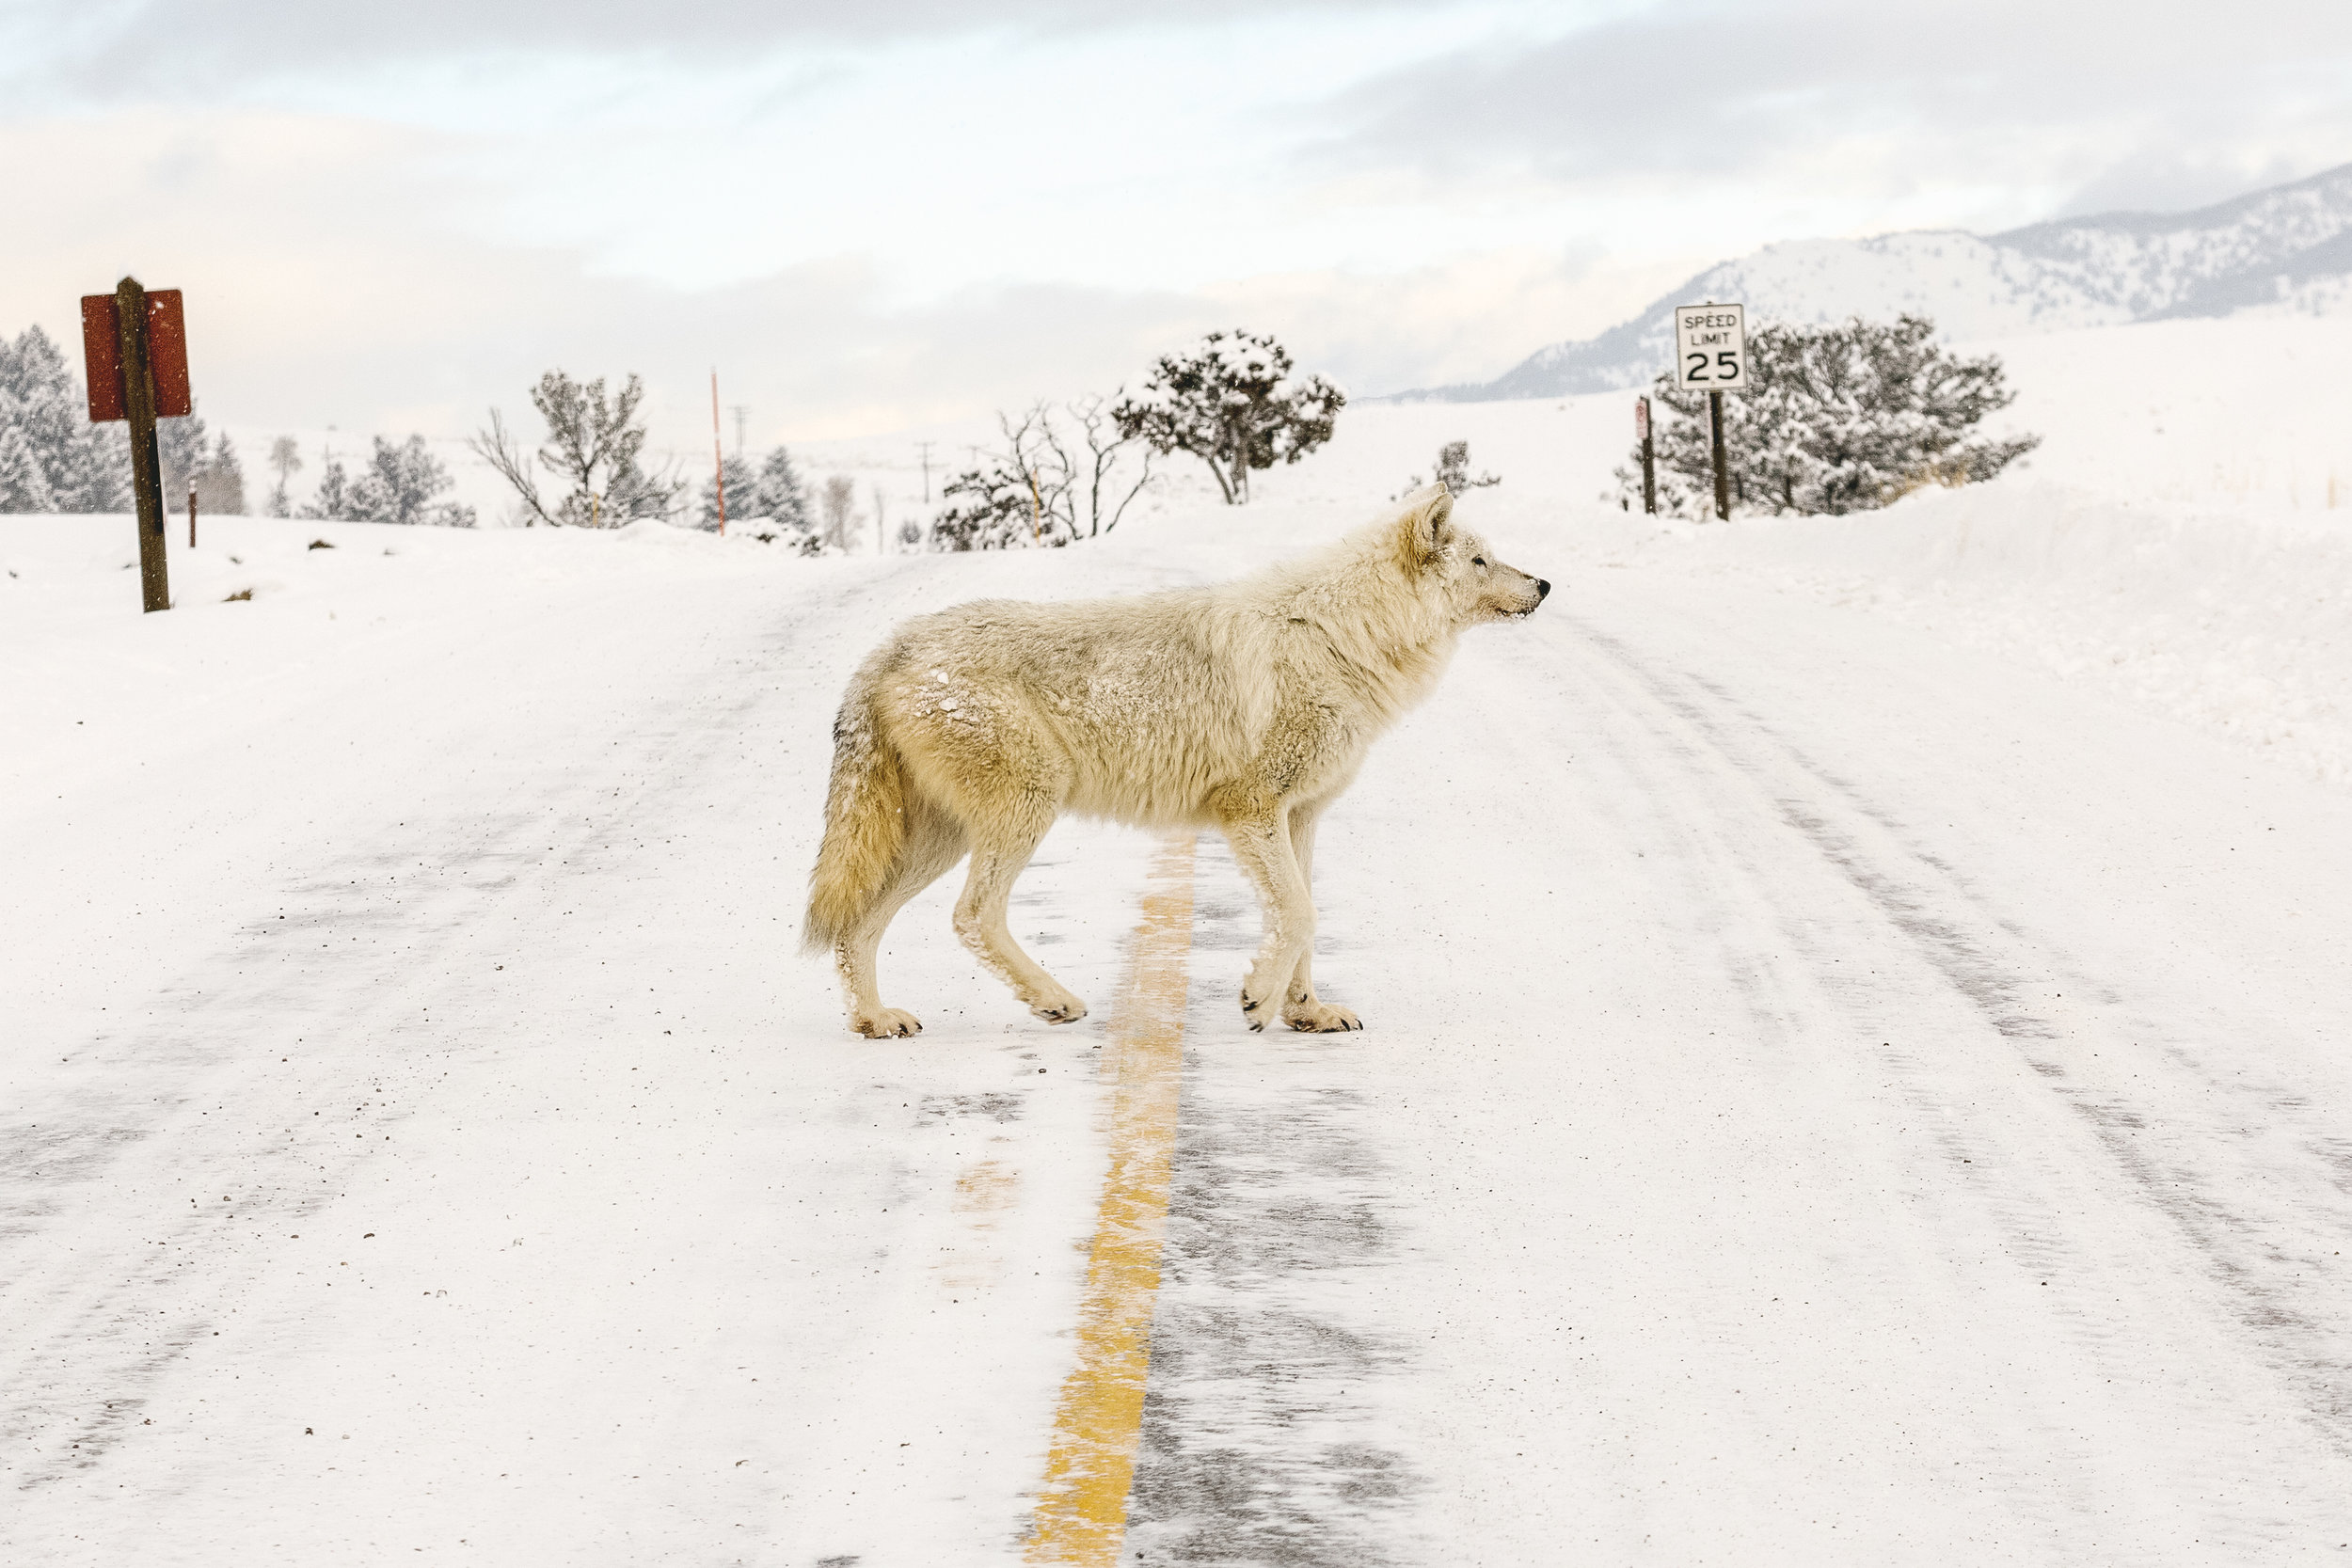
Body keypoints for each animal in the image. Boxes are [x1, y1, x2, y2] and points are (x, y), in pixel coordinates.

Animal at [800, 483, 1552, 1034]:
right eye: (1480, 561)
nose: (1543, 584)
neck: (1342, 637)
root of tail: (889, 648)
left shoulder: (1302, 816)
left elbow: (1306, 918)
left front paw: (1306, 1011)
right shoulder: (1251, 809)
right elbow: (1300, 915)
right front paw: (1257, 999)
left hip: (943, 838)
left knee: (859, 925)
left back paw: (874, 1020)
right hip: (1024, 811)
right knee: (971, 916)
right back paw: (1052, 999)